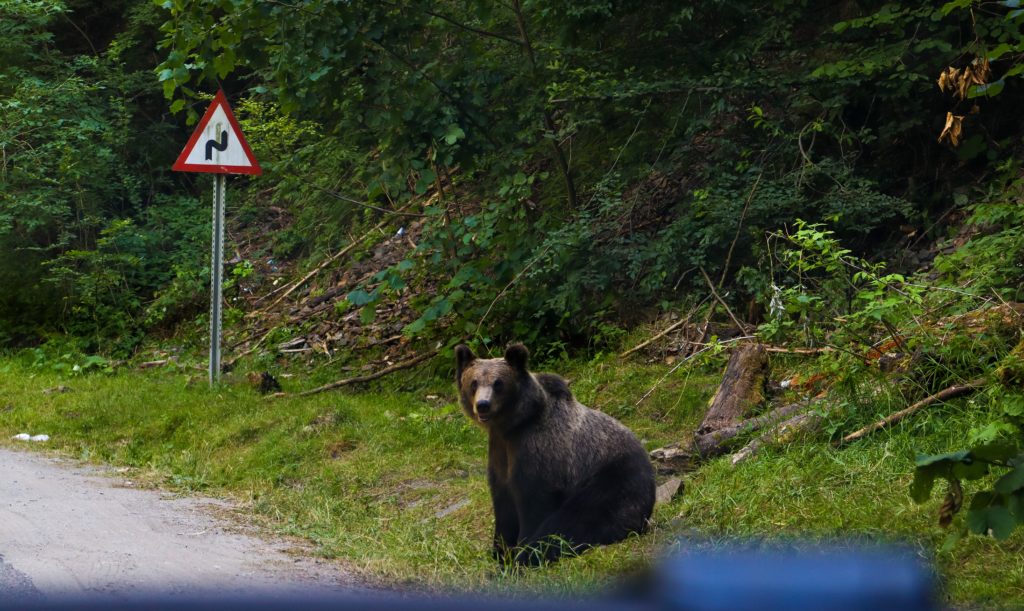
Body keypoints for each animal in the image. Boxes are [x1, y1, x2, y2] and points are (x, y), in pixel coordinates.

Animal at [456, 339, 655, 564]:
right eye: (474, 382)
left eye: (498, 383)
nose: (483, 405)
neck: (511, 425)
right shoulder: (500, 453)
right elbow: (504, 506)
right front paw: (501, 552)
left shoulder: (538, 452)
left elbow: (534, 505)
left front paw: (521, 553)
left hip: (612, 481)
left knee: (575, 520)